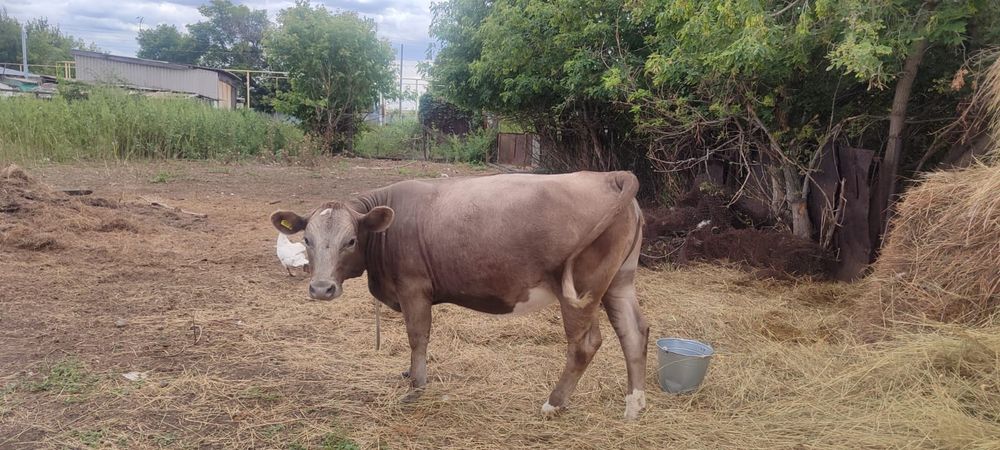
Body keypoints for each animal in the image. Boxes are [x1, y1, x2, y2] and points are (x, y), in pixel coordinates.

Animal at [270, 170, 650, 420]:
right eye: (307, 239)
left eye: (350, 240)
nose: (322, 289)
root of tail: (609, 176)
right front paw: (409, 375)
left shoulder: (413, 288)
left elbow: (417, 336)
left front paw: (416, 387)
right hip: (619, 282)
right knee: (635, 332)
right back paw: (635, 404)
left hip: (582, 290)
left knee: (585, 344)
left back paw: (553, 403)